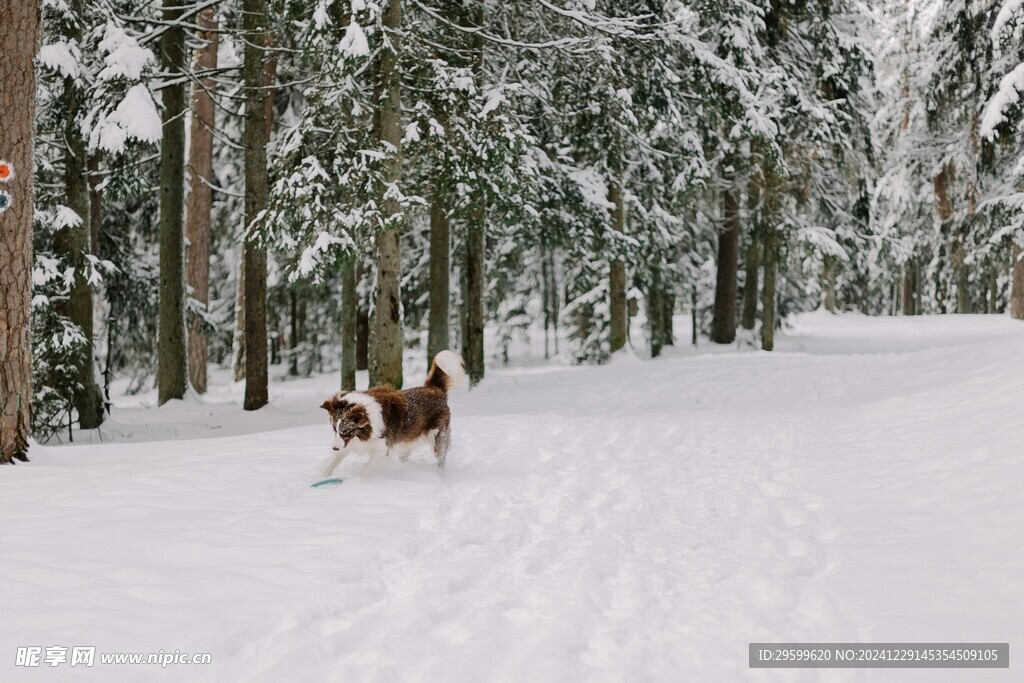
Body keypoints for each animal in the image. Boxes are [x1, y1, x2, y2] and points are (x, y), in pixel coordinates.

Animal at [315, 350, 468, 479]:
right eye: (335, 429)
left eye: (345, 430)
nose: (334, 448)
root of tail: (434, 388)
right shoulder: (347, 444)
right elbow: (330, 464)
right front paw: (318, 479)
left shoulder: (381, 447)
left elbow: (366, 470)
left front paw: (359, 482)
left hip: (438, 439)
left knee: (441, 458)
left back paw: (441, 476)